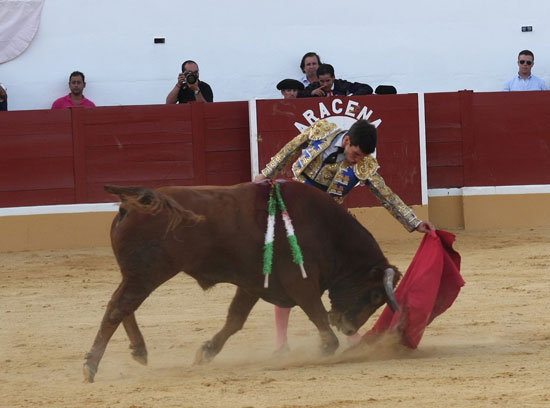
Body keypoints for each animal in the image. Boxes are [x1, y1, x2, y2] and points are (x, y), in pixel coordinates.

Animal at [83, 181, 402, 382]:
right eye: (376, 297)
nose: (349, 327)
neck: (326, 230)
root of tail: (137, 202)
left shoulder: (254, 285)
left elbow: (235, 319)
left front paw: (206, 352)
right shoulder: (301, 283)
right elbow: (319, 315)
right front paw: (325, 349)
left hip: (138, 274)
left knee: (124, 307)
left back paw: (139, 351)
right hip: (148, 274)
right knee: (118, 307)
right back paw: (91, 365)